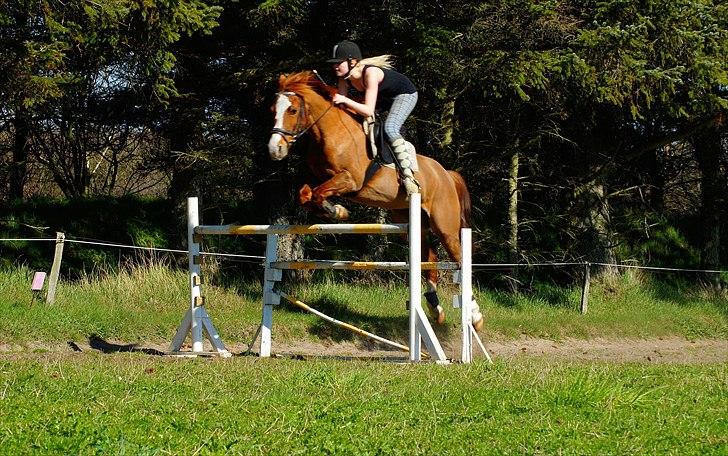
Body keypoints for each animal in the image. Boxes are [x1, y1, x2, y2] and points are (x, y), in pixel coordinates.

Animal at [268, 69, 484, 330]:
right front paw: (334, 210)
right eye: (272, 109)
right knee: (429, 259)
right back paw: (435, 309)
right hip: (411, 223)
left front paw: (337, 211)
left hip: (445, 226)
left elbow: (319, 192)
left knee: (459, 259)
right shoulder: (321, 179)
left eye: (291, 110)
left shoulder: (351, 179)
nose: (274, 150)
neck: (330, 131)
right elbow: (306, 194)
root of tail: (446, 173)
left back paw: (475, 316)